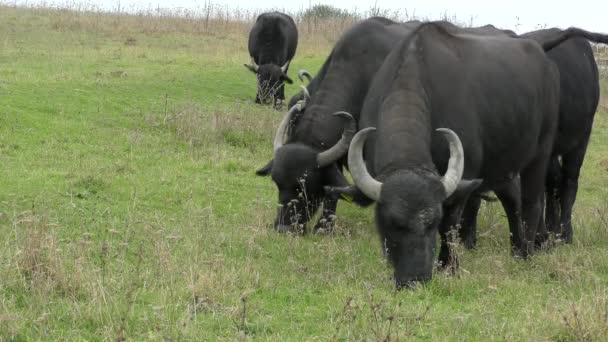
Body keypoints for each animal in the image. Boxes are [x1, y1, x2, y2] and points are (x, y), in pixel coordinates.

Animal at [330, 22, 564, 288]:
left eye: (432, 222)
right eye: (391, 222)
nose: (416, 279)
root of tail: (545, 59)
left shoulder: (464, 177)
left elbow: (450, 224)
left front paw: (448, 265)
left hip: (540, 153)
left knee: (532, 202)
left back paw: (527, 252)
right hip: (503, 165)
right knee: (512, 198)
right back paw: (515, 249)